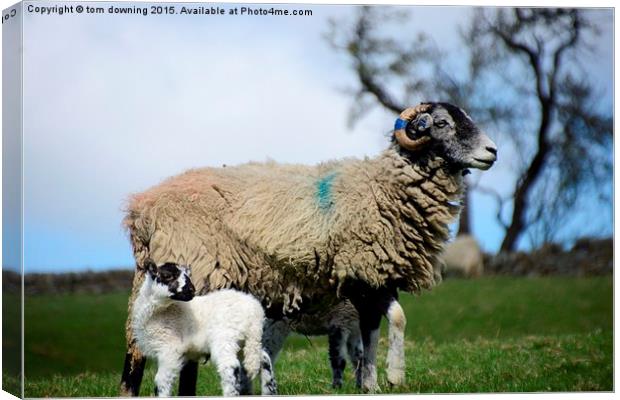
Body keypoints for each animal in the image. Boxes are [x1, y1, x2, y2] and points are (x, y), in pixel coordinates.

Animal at [120, 101, 498, 396]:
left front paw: (378, 381)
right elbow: (378, 327)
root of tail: (141, 208)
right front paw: (387, 377)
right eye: (442, 123)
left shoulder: (378, 276)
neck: (383, 188)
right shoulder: (359, 273)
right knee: (141, 349)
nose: (492, 151)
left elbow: (385, 326)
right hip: (193, 271)